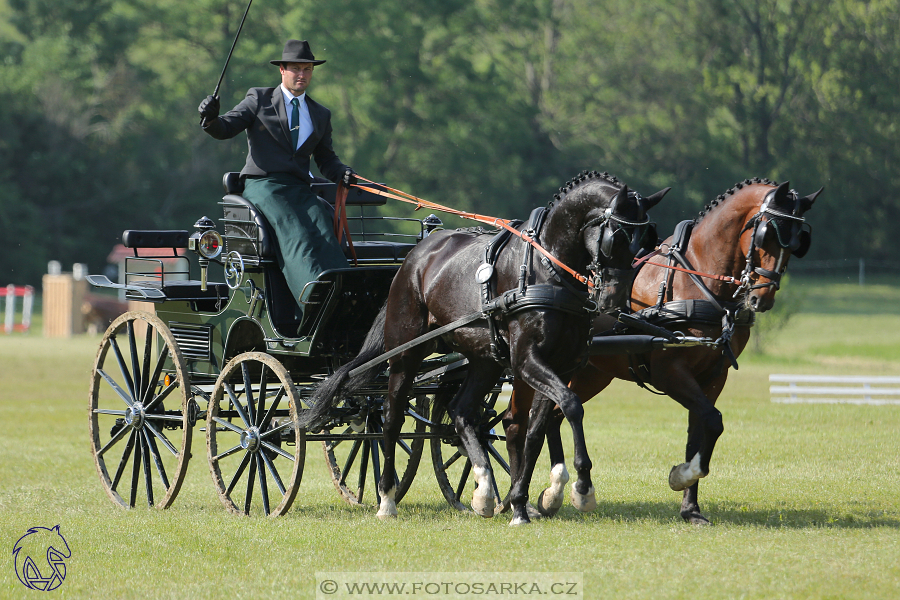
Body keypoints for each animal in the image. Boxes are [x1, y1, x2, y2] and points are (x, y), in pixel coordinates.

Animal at [304, 170, 668, 520]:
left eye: (648, 240)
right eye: (618, 236)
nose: (615, 299)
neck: (547, 272)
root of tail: (415, 255)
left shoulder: (564, 364)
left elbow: (539, 425)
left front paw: (526, 500)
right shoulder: (526, 360)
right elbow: (570, 405)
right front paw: (581, 487)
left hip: (485, 361)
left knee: (461, 412)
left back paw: (483, 490)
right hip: (406, 353)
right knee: (391, 418)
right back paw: (387, 499)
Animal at [510, 179, 820, 524]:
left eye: (798, 241)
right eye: (768, 233)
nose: (761, 298)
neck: (697, 282)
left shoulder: (714, 376)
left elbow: (700, 429)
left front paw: (691, 506)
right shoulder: (669, 372)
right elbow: (713, 421)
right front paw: (682, 476)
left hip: (591, 373)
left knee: (552, 417)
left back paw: (553, 492)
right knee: (526, 422)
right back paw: (537, 493)